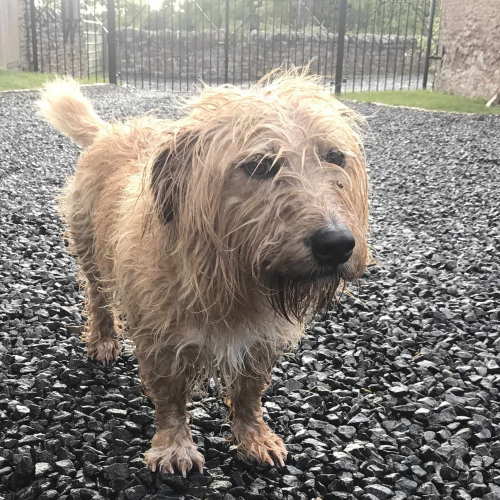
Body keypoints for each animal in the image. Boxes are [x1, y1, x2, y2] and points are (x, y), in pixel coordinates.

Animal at [37, 70, 370, 476]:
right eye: (259, 165)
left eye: (335, 157)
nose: (337, 244)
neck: (233, 278)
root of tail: (109, 132)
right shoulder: (159, 341)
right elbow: (170, 398)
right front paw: (173, 446)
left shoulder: (261, 341)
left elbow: (249, 393)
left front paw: (254, 437)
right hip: (90, 252)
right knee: (98, 297)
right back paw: (102, 340)